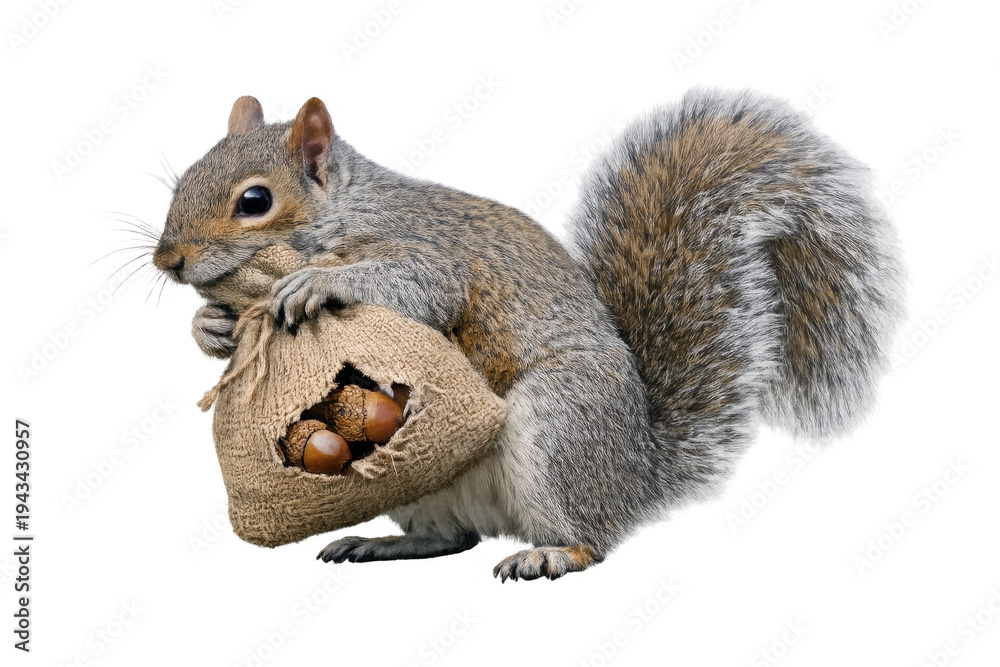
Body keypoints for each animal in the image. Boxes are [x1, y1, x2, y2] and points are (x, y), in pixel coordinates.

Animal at [153, 89, 905, 581]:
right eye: (183, 177)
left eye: (255, 201)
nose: (168, 260)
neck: (342, 211)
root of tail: (637, 475)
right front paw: (210, 325)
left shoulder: (430, 253)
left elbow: (422, 287)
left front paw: (316, 284)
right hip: (419, 486)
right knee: (453, 538)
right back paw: (384, 545)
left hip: (559, 422)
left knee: (592, 540)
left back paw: (553, 552)